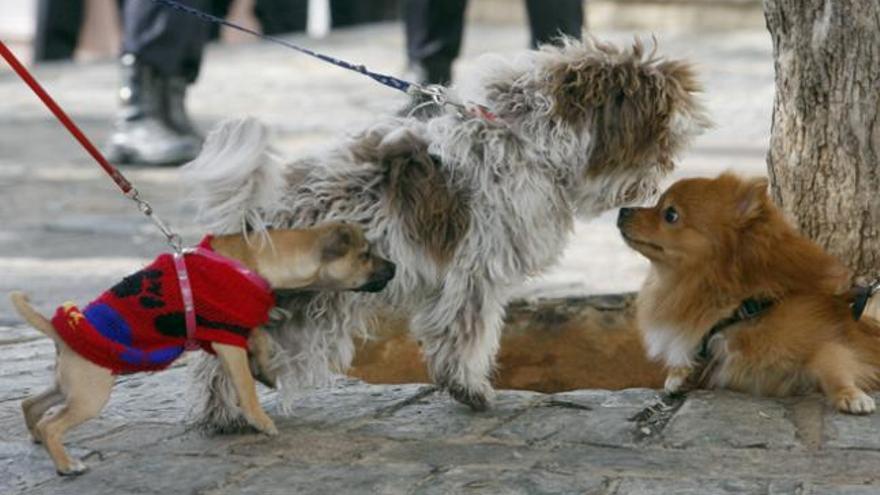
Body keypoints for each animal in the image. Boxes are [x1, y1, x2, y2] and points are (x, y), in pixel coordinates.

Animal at [184, 36, 708, 428]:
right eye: (660, 137)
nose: (656, 178)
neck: (526, 137)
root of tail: (256, 214)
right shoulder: (478, 268)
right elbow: (467, 332)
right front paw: (470, 389)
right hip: (309, 302)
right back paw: (229, 414)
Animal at [620, 174, 880, 414]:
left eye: (670, 214)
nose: (623, 210)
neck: (745, 307)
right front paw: (679, 374)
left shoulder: (826, 341)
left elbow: (832, 363)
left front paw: (850, 395)